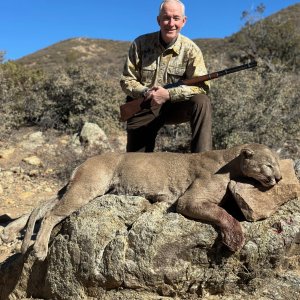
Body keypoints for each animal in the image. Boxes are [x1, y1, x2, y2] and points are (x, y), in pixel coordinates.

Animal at [1, 143, 282, 260]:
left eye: (277, 164)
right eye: (269, 165)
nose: (279, 177)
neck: (230, 161)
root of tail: (85, 161)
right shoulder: (189, 201)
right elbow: (223, 214)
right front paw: (235, 238)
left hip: (81, 188)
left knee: (42, 205)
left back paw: (11, 232)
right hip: (88, 187)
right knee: (51, 214)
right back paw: (38, 248)